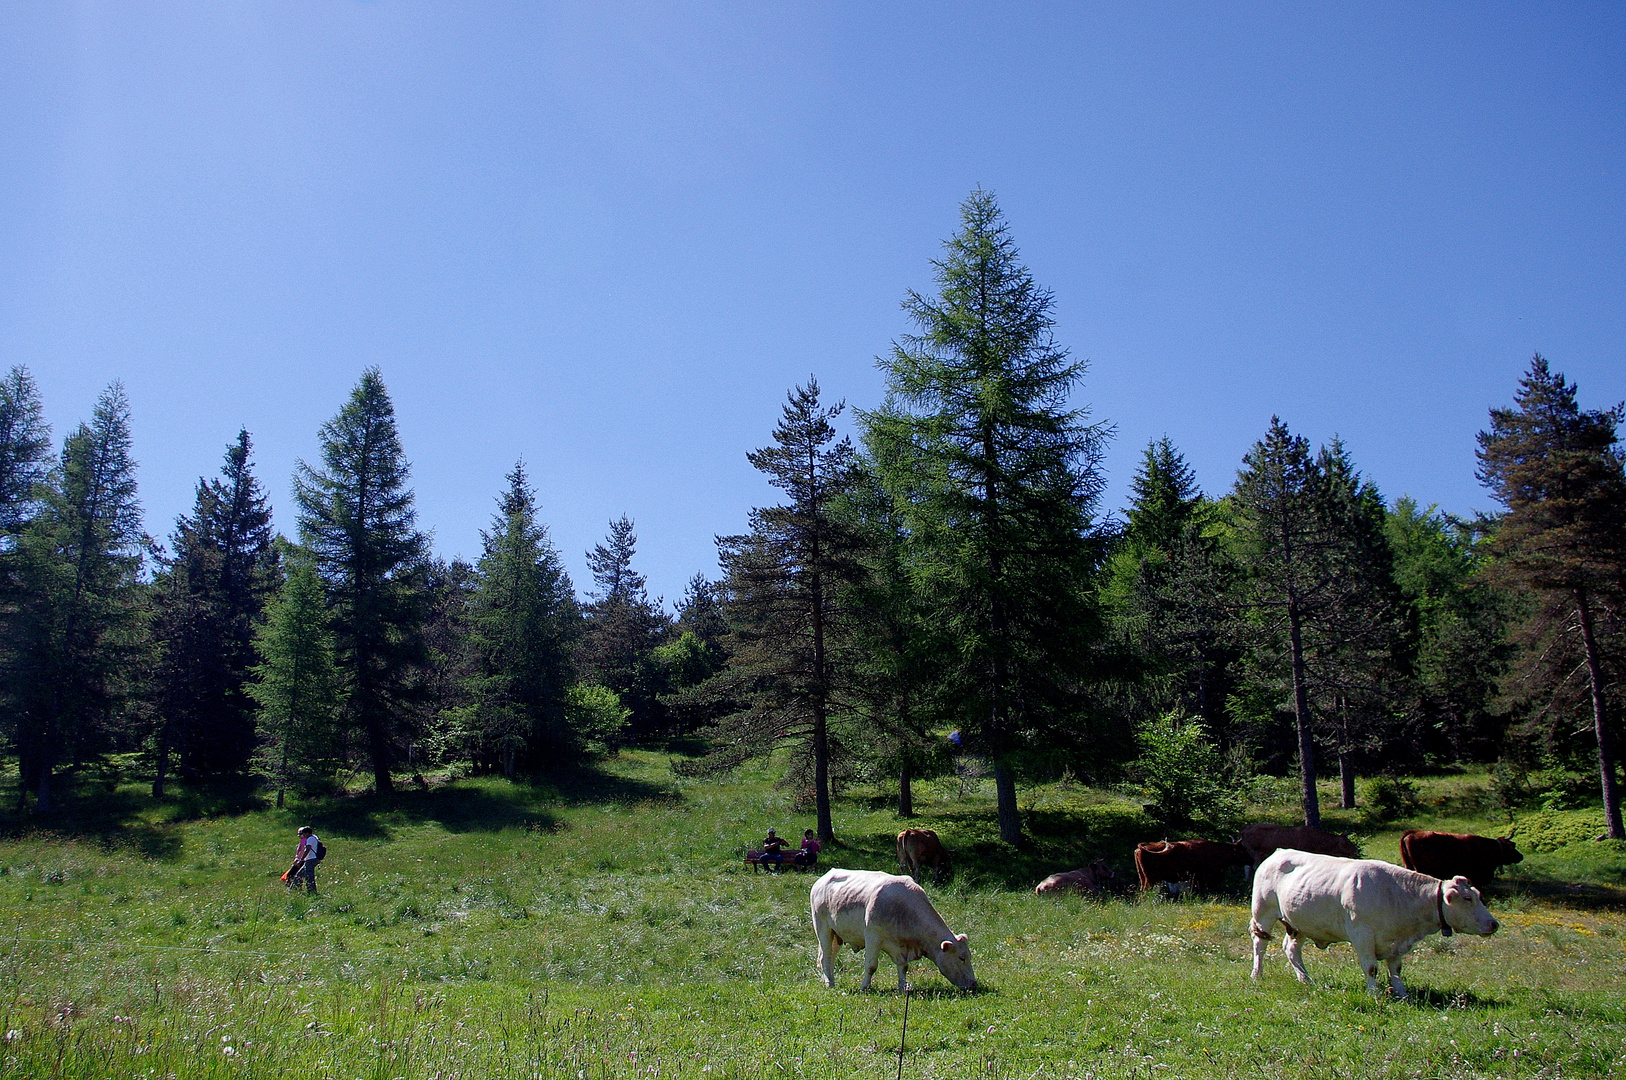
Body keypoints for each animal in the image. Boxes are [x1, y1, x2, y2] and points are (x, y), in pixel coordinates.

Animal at [806, 865, 969, 988]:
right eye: (961, 958)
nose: (973, 984)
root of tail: (822, 879)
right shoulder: (873, 937)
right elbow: (871, 966)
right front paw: (864, 987)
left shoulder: (899, 946)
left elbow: (903, 966)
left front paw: (902, 987)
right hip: (823, 929)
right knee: (825, 956)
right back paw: (830, 983)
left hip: (836, 934)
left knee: (830, 957)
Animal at [1242, 845, 1495, 1001]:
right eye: (1467, 898)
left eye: (1477, 894)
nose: (1494, 924)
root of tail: (1278, 852)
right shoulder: (1362, 934)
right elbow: (1371, 967)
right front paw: (1374, 994)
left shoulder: (1396, 941)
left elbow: (1396, 968)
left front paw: (1402, 994)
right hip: (1263, 912)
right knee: (1260, 944)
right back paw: (1257, 975)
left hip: (1299, 922)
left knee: (1291, 949)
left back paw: (1306, 980)